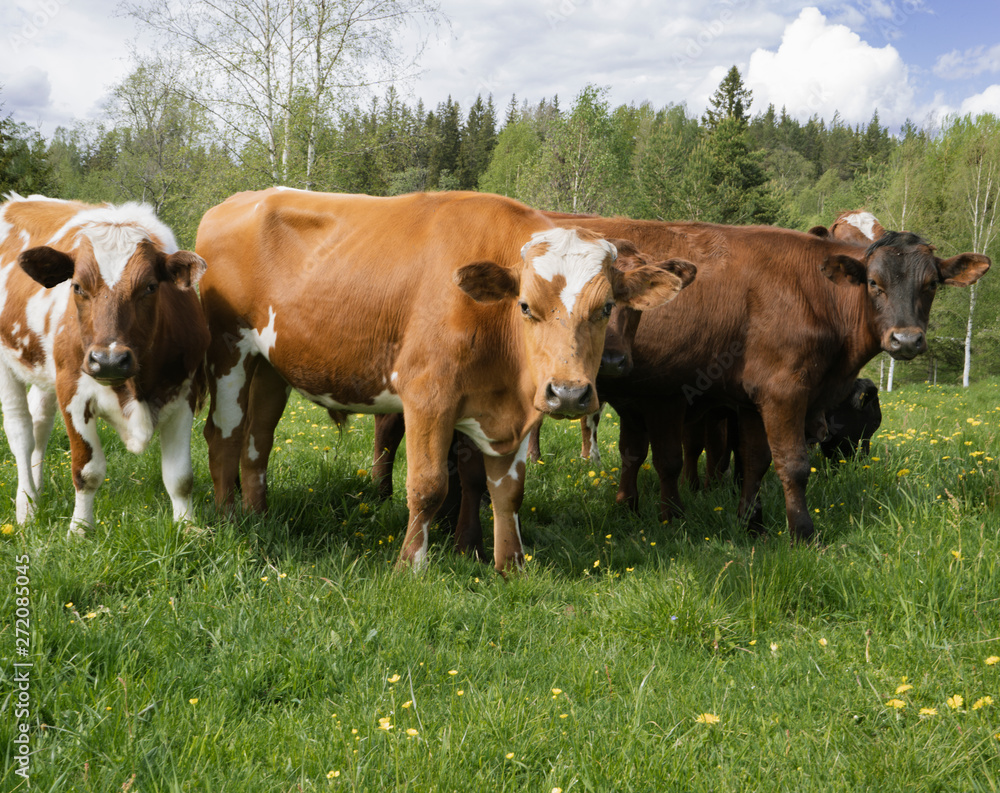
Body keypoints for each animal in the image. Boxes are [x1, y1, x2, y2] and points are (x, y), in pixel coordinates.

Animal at [0, 195, 211, 536]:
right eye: (76, 286)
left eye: (151, 287)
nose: (109, 360)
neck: (135, 388)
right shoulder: (72, 392)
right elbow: (88, 472)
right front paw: (79, 530)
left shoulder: (184, 394)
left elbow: (180, 477)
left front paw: (188, 529)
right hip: (8, 364)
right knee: (21, 432)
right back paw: (26, 507)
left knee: (39, 422)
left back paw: (37, 492)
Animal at [196, 189, 696, 572]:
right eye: (526, 306)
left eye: (607, 307)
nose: (569, 393)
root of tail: (240, 198)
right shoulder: (427, 397)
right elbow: (429, 486)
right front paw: (410, 566)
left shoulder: (516, 410)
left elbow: (508, 491)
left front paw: (510, 565)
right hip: (229, 351)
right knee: (224, 435)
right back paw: (228, 521)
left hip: (269, 365)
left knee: (258, 440)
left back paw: (259, 514)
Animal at [544, 213, 988, 540]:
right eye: (874, 283)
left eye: (930, 285)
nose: (906, 339)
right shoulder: (782, 392)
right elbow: (791, 464)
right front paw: (802, 533)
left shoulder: (751, 398)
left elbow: (754, 461)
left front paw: (751, 524)